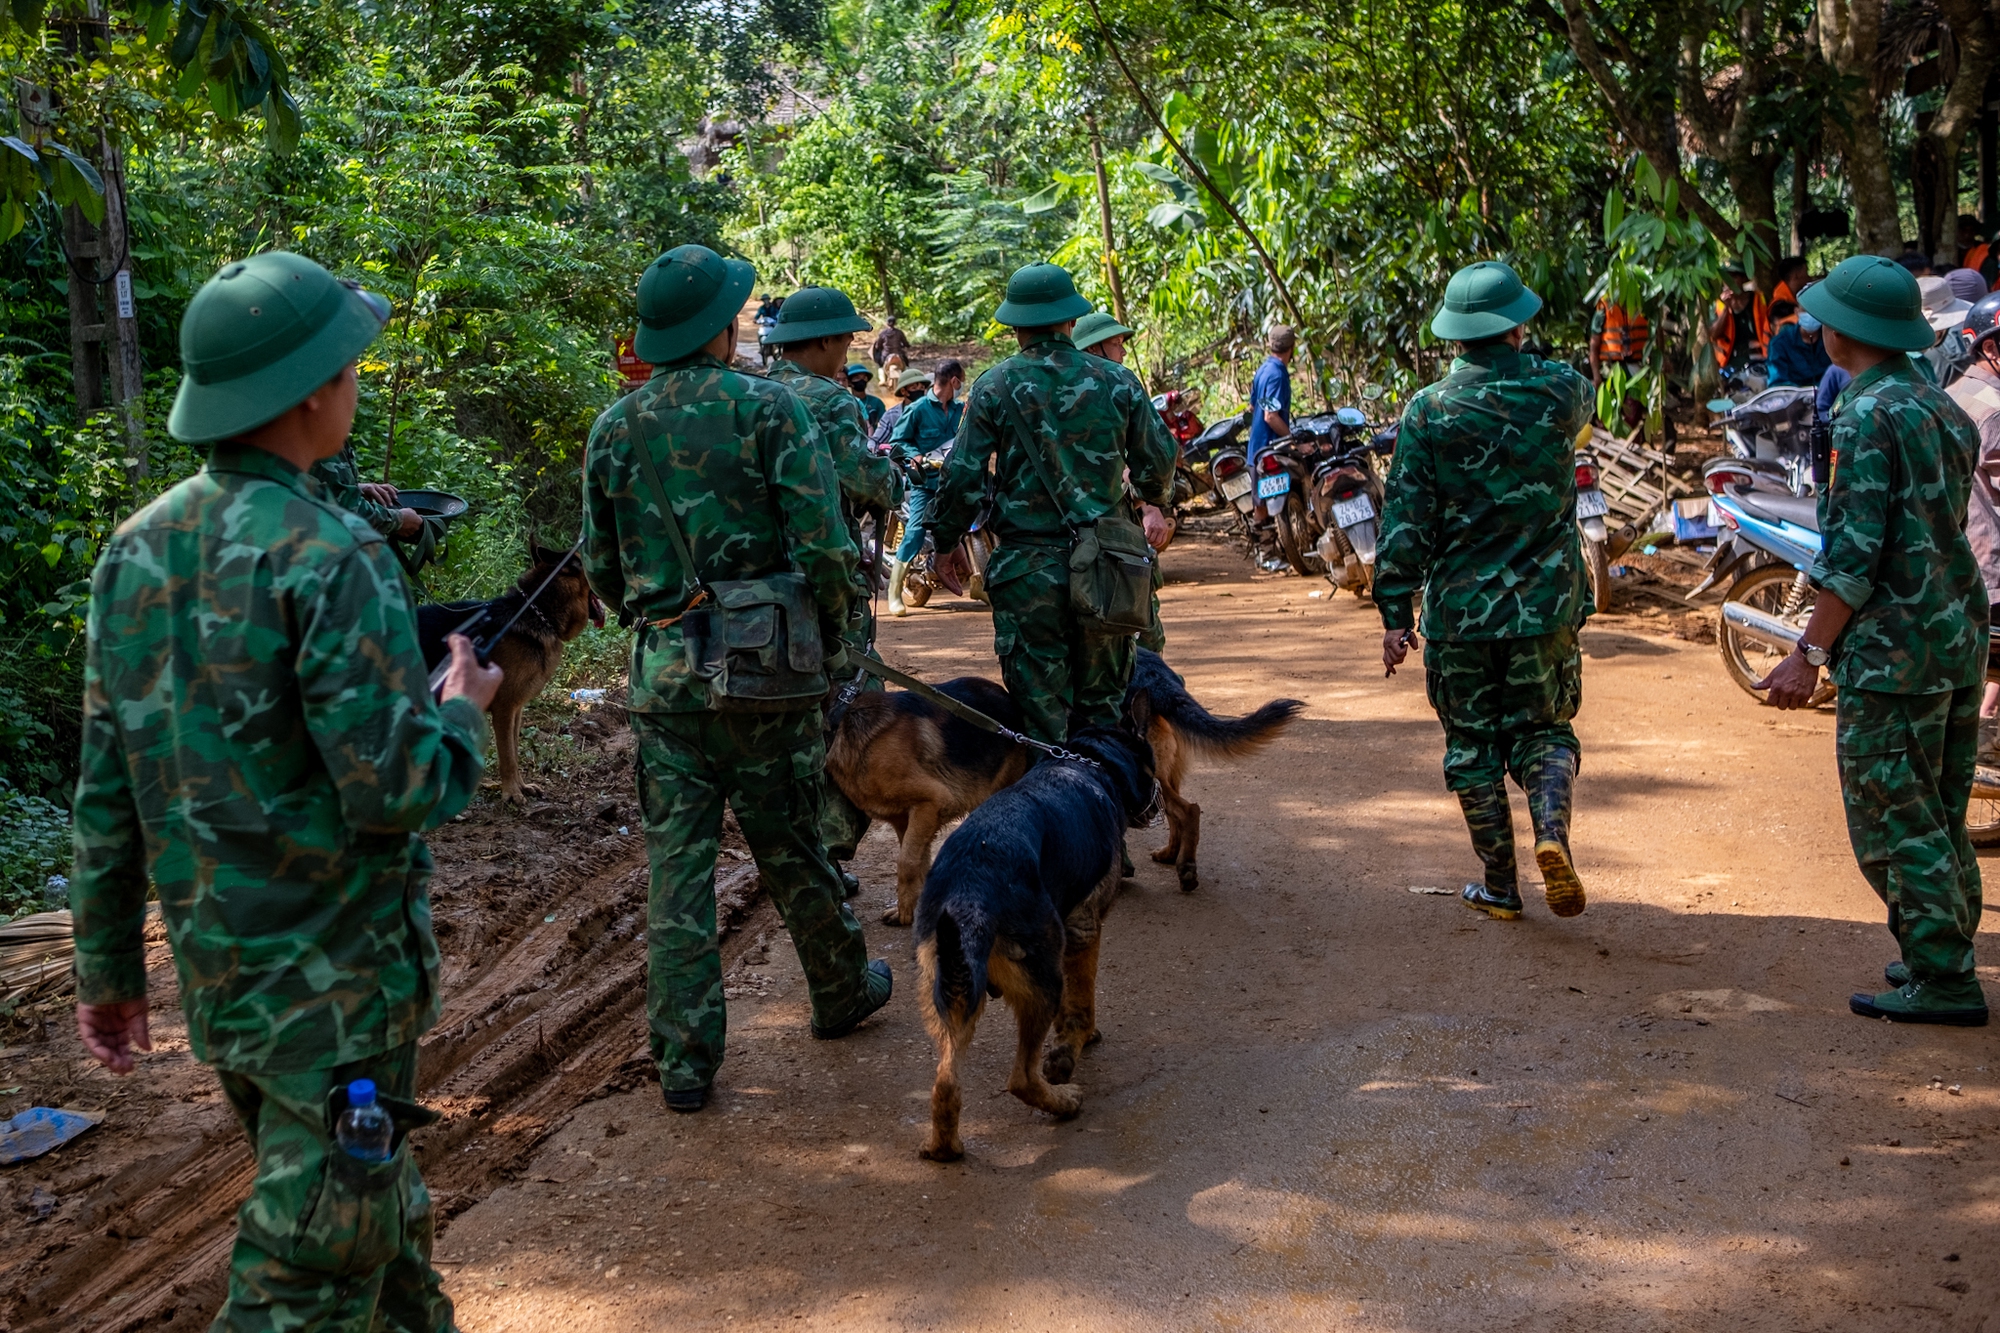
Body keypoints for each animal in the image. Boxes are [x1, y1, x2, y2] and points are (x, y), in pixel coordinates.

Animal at [418, 540, 604, 800]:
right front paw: (512, 794)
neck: (539, 612)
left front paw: (521, 787)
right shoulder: (504, 708)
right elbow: (507, 756)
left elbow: (514, 752)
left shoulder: (516, 709)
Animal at [916, 720, 1160, 1160]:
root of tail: (969, 888)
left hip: (951, 991)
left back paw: (945, 1146)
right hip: (1040, 982)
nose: (1158, 799)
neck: (1091, 761)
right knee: (1021, 1078)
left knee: (945, 1081)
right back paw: (1064, 1102)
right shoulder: (1084, 929)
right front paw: (1076, 1043)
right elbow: (1081, 1002)